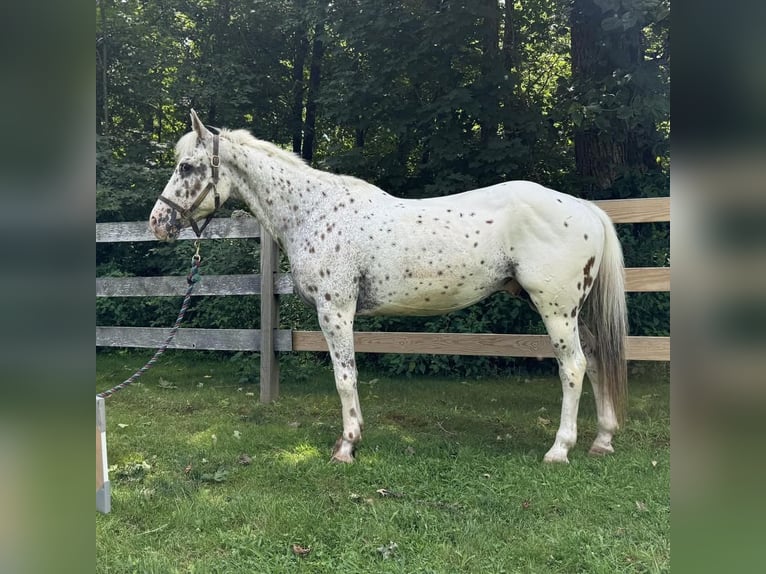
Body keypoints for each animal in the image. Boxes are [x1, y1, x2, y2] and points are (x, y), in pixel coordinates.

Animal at [150, 110, 632, 466]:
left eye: (187, 167)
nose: (158, 222)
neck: (315, 211)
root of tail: (585, 208)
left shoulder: (335, 310)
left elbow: (345, 377)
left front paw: (347, 445)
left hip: (556, 309)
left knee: (573, 368)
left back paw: (560, 449)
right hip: (573, 312)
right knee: (597, 360)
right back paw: (602, 440)